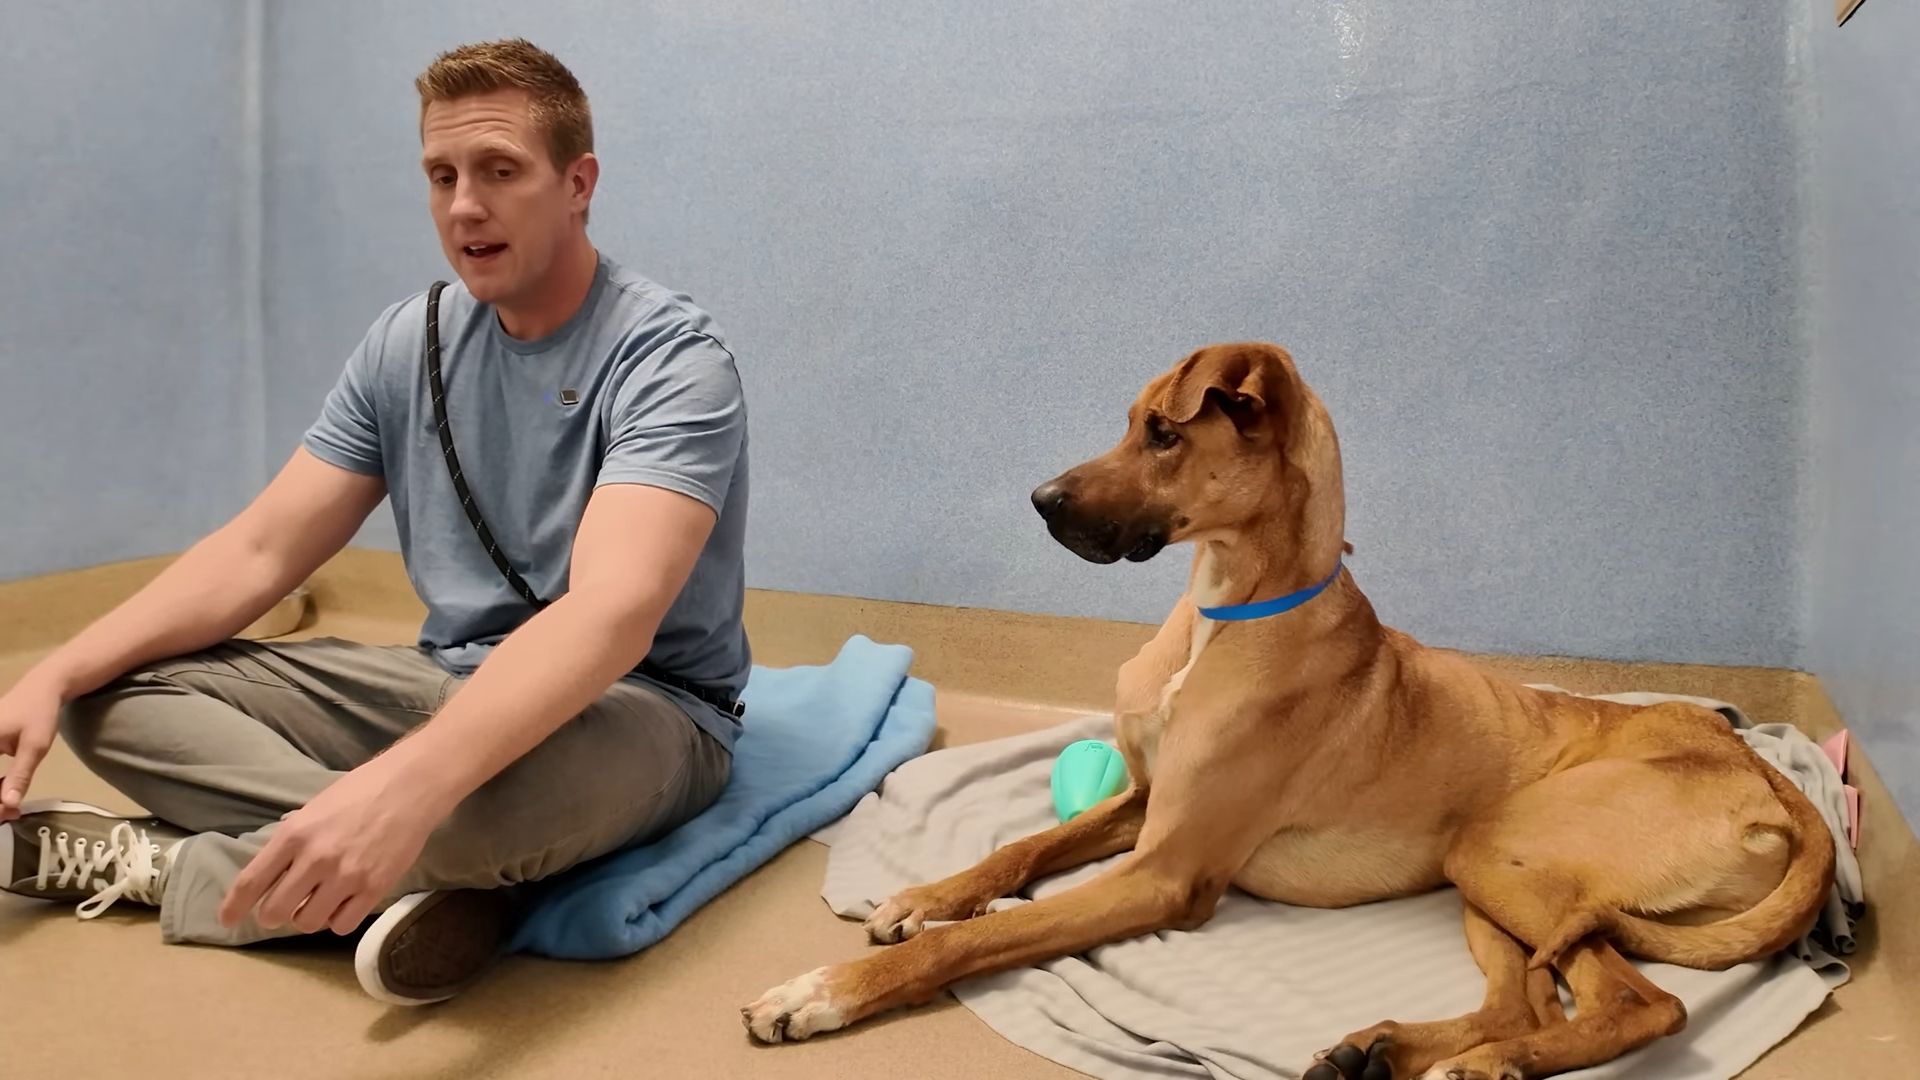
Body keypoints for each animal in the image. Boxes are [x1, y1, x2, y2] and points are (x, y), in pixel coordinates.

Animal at [733, 340, 1827, 1068]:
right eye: (1129, 422)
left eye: (1163, 432)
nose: (1041, 502)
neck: (1226, 613)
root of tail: (1773, 781)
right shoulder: (1145, 804)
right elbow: (1022, 850)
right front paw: (923, 896)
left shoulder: (1167, 873)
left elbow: (986, 935)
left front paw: (824, 992)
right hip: (1485, 885)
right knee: (1534, 1003)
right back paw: (1395, 1051)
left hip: (1502, 850)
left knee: (1645, 1008)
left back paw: (1475, 1065)